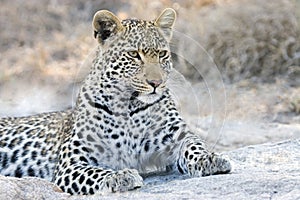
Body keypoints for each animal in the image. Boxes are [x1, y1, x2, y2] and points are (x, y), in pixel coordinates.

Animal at [0, 8, 232, 195]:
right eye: (134, 55)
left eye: (162, 54)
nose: (156, 83)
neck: (129, 105)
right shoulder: (71, 162)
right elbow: (94, 172)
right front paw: (119, 176)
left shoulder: (176, 135)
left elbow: (194, 145)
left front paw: (211, 159)